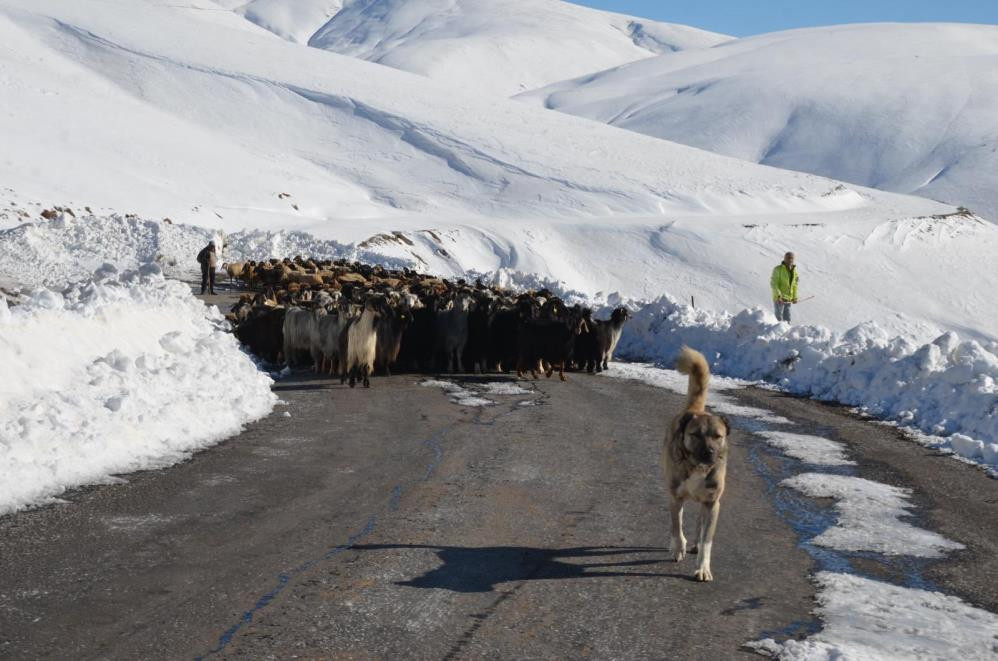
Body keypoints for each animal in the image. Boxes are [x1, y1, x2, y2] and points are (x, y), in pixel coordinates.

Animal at [664, 342, 736, 580]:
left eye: (718, 436)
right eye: (696, 434)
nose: (709, 452)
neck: (697, 466)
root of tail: (694, 409)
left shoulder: (713, 502)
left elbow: (707, 540)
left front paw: (703, 568)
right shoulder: (675, 495)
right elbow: (677, 526)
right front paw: (678, 548)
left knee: (699, 520)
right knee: (676, 519)